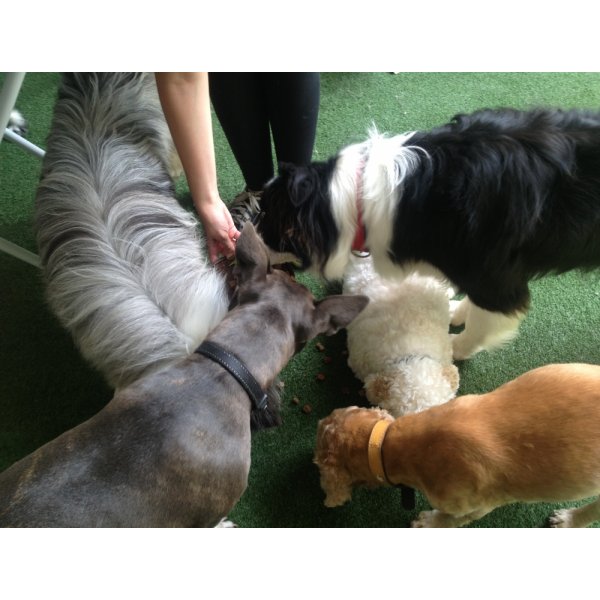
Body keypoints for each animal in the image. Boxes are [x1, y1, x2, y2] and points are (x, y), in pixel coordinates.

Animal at [312, 360, 600, 524]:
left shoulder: (475, 504)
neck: (389, 445)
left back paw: (569, 520)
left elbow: (452, 519)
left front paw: (430, 522)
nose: (318, 421)